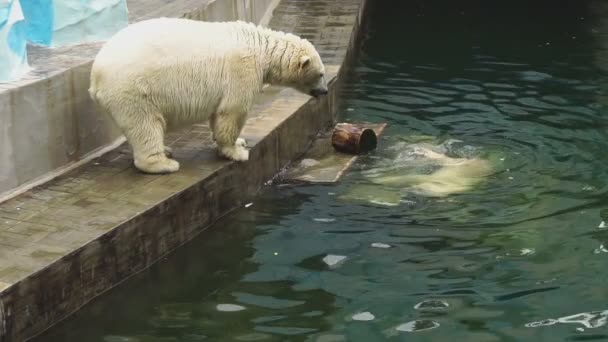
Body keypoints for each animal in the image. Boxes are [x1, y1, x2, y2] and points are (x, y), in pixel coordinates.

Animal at [88, 17, 328, 174]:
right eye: (321, 73)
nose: (325, 92)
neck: (261, 47)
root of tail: (95, 76)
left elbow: (219, 114)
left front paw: (239, 142)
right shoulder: (241, 69)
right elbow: (233, 111)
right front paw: (237, 152)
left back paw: (165, 150)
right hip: (134, 88)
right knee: (145, 123)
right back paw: (164, 164)